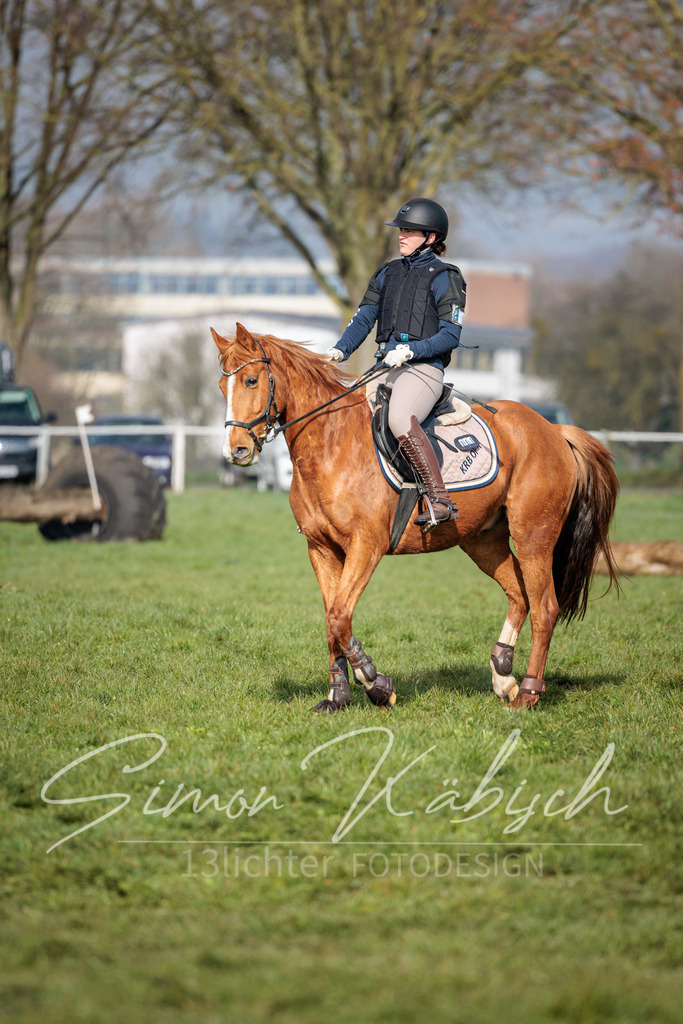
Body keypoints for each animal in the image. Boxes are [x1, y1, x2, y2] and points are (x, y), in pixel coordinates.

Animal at [213, 323, 620, 712]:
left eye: (251, 381)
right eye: (221, 386)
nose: (237, 451)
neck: (329, 444)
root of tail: (554, 430)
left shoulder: (366, 546)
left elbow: (340, 616)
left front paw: (376, 684)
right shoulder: (321, 549)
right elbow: (331, 620)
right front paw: (337, 697)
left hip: (533, 536)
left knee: (544, 608)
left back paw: (529, 694)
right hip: (483, 540)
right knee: (519, 595)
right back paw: (504, 678)